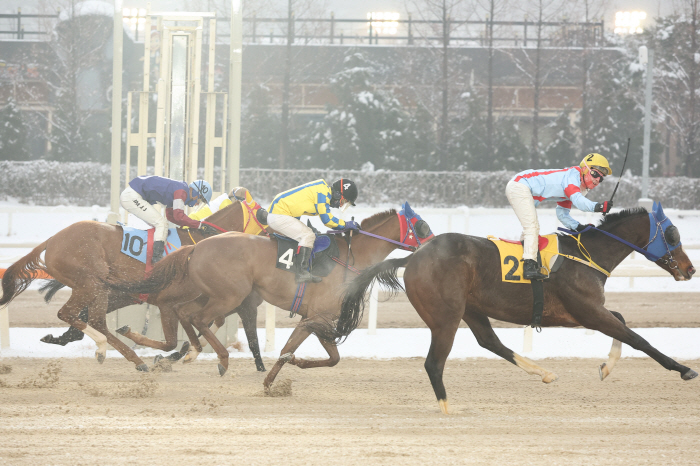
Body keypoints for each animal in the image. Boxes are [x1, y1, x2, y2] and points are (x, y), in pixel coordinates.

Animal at [0, 197, 268, 372]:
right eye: (264, 214)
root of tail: (51, 240)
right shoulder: (170, 301)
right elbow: (181, 334)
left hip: (96, 289)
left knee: (91, 319)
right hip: (90, 283)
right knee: (73, 314)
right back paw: (114, 351)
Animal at [102, 206, 434, 384]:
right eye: (422, 225)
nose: (433, 245)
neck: (350, 258)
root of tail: (197, 246)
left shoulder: (316, 319)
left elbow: (330, 358)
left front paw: (287, 369)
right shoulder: (314, 318)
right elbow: (294, 350)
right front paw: (271, 378)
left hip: (213, 293)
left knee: (185, 313)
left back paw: (164, 346)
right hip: (229, 295)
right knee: (199, 318)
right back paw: (220, 359)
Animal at [326, 202, 696, 414]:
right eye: (673, 234)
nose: (690, 269)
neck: (588, 255)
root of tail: (414, 256)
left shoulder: (582, 312)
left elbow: (622, 321)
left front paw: (606, 366)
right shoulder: (585, 311)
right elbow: (638, 338)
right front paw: (683, 369)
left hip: (471, 308)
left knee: (489, 342)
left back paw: (543, 372)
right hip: (446, 317)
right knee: (434, 363)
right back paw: (446, 408)